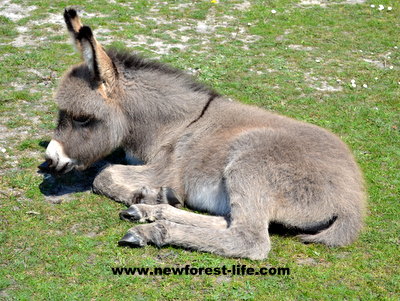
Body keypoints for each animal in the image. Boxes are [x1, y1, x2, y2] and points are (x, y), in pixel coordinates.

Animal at [41, 9, 366, 258]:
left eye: (82, 118)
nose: (50, 160)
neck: (175, 125)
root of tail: (353, 202)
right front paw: (153, 197)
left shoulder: (164, 170)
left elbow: (103, 175)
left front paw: (143, 192)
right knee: (227, 221)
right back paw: (153, 211)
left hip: (251, 164)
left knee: (249, 240)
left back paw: (153, 225)